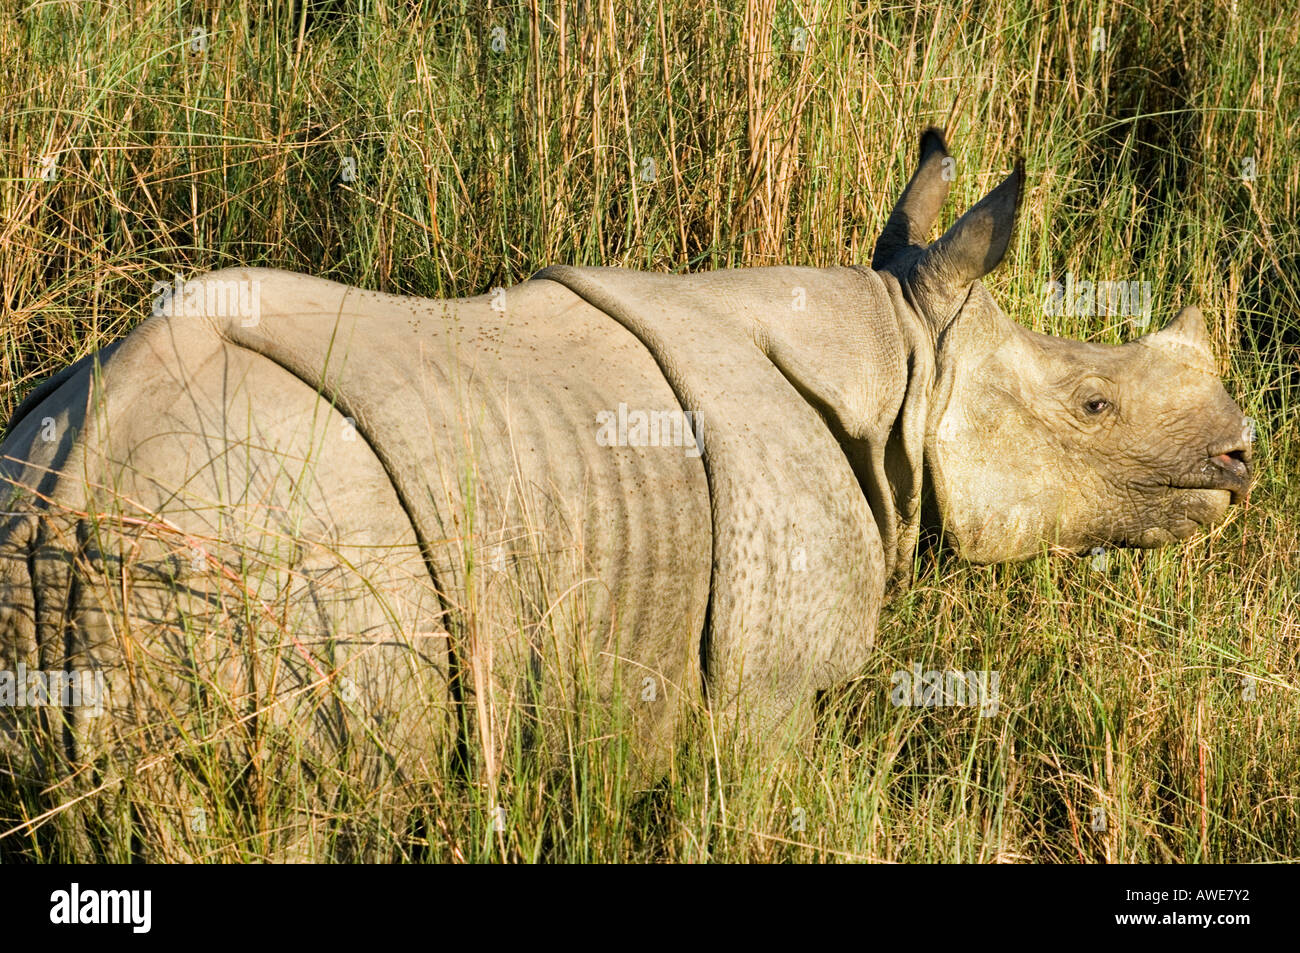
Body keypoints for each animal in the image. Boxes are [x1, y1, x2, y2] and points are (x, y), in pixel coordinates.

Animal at [0, 129, 1253, 856]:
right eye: (1091, 405)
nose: (1241, 454)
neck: (900, 355)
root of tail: (78, 473)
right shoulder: (764, 686)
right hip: (248, 560)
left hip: (73, 556)